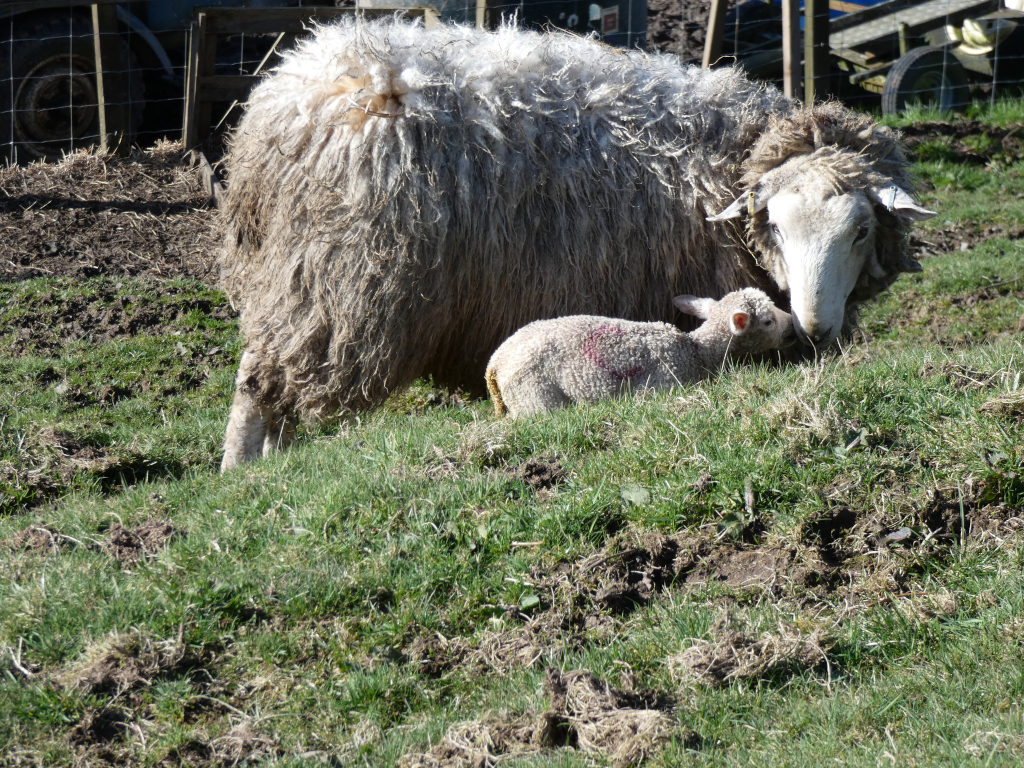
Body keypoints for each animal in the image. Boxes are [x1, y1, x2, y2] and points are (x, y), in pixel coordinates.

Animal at [485, 288, 793, 417]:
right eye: (768, 321)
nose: (792, 325)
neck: (696, 350)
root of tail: (494, 365)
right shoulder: (665, 384)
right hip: (535, 397)